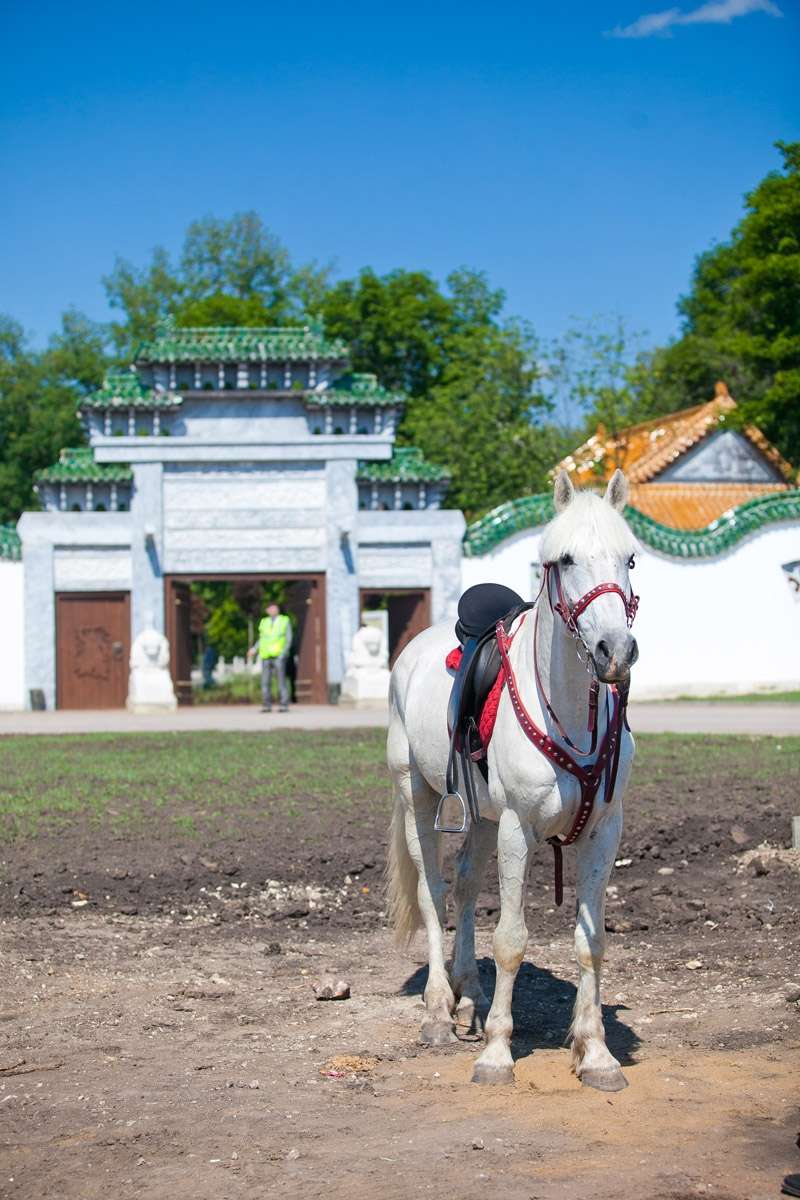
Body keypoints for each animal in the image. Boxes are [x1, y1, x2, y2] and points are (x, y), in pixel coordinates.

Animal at [383, 472, 642, 1094]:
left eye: (629, 559)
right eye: (565, 560)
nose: (615, 652)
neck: (568, 711)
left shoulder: (606, 829)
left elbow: (591, 941)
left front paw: (596, 1053)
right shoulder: (518, 829)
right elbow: (511, 941)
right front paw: (498, 1054)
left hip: (482, 818)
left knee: (465, 888)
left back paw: (469, 997)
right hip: (417, 795)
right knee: (432, 892)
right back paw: (438, 1009)